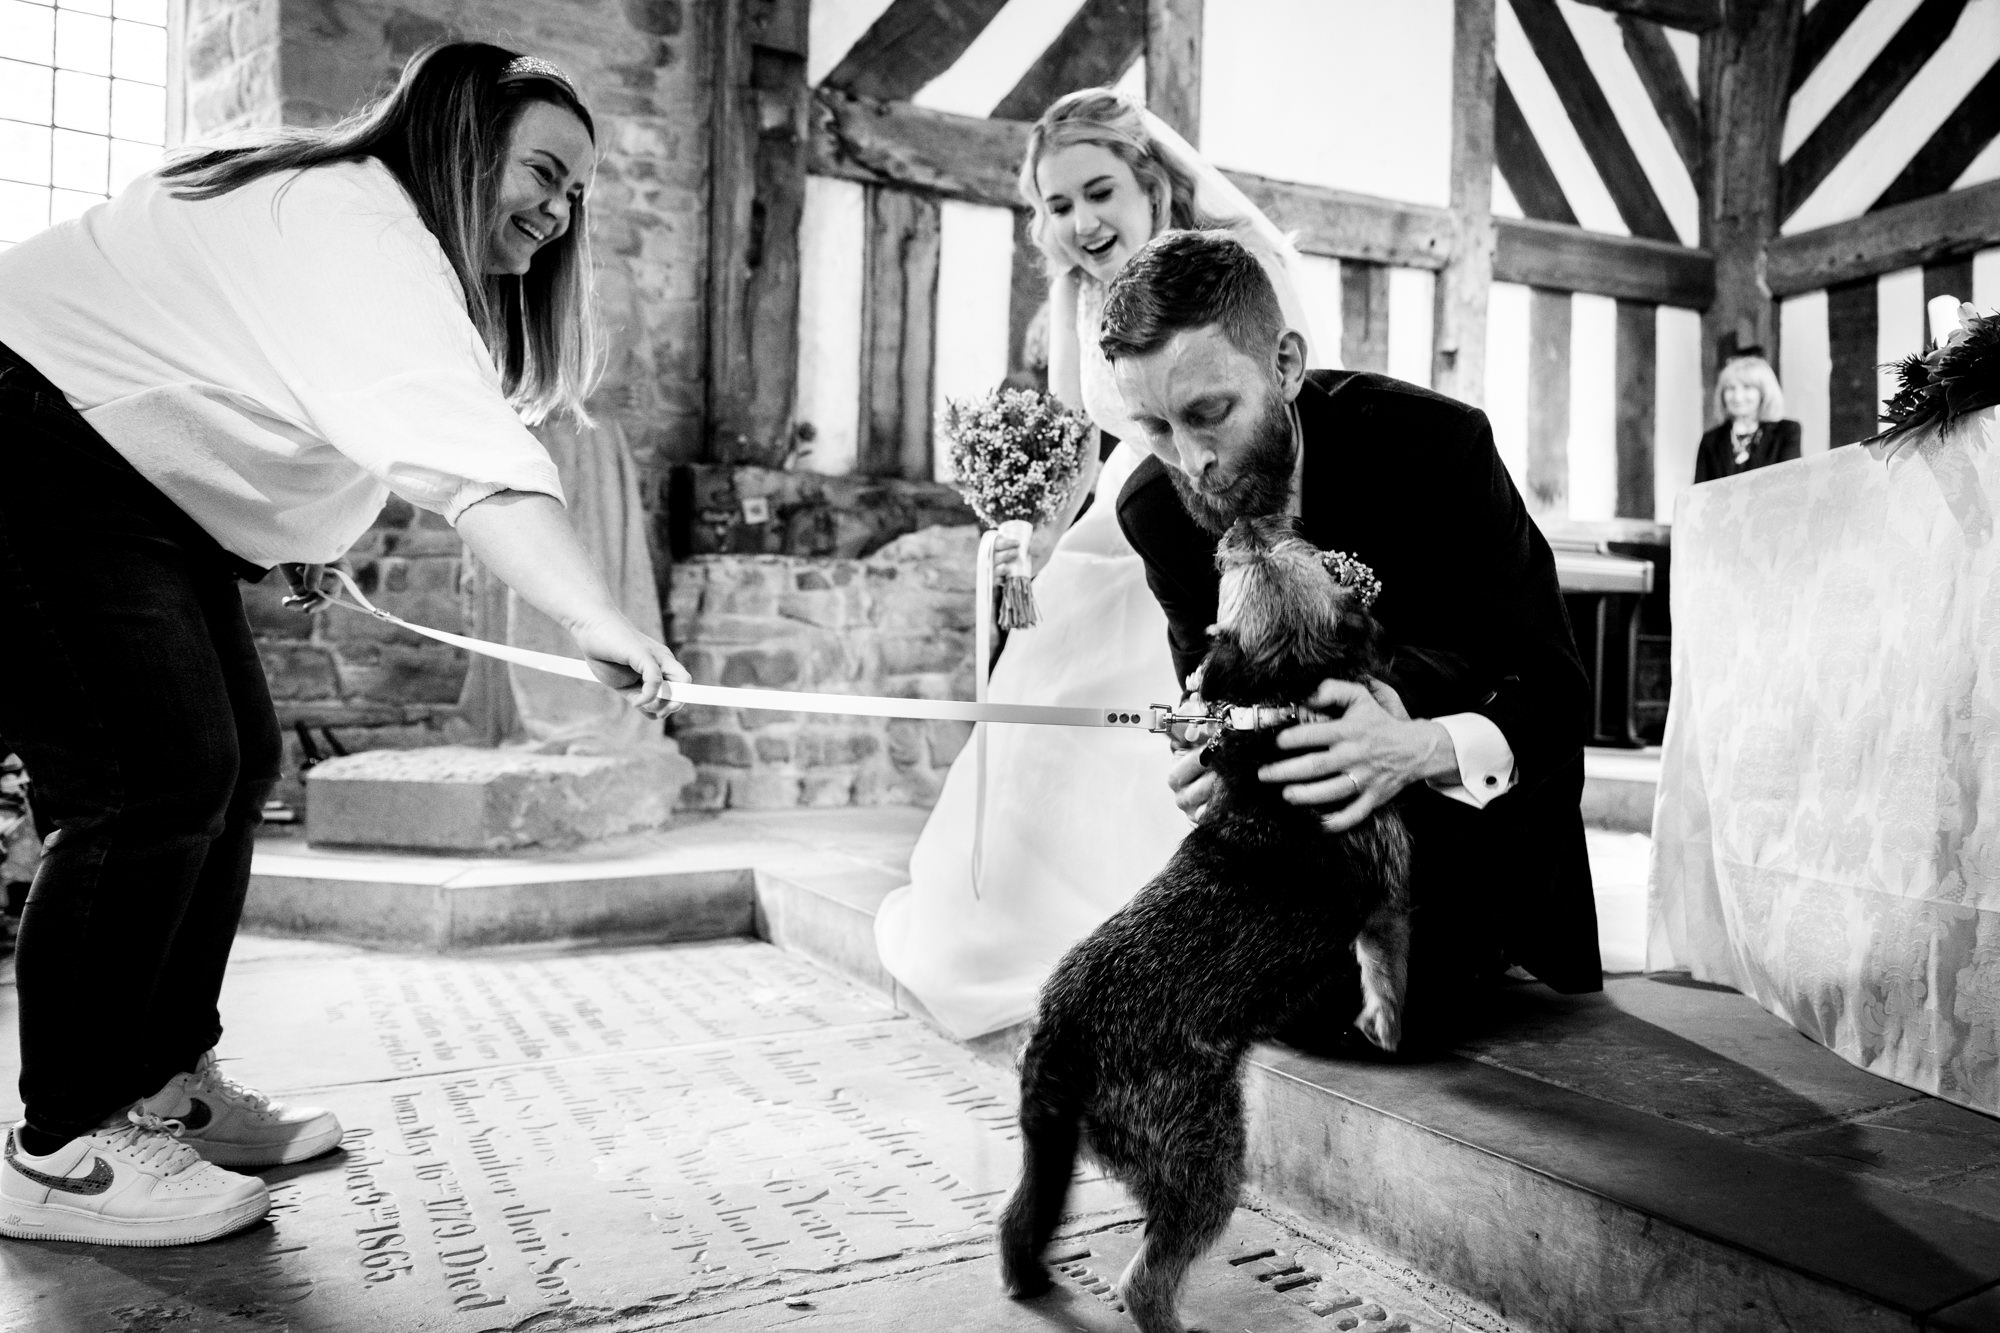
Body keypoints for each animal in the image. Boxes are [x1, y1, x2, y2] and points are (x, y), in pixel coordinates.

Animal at [1000, 510, 1424, 1328]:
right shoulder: (1387, 890)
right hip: (1204, 1156)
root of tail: (1064, 1035)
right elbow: (1385, 964)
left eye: (1273, 553)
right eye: (1302, 553)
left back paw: (1025, 1278)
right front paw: (1386, 1022)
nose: (1244, 527)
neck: (1278, 695)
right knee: (1146, 1278)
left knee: (1017, 1220)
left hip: (1048, 1144)